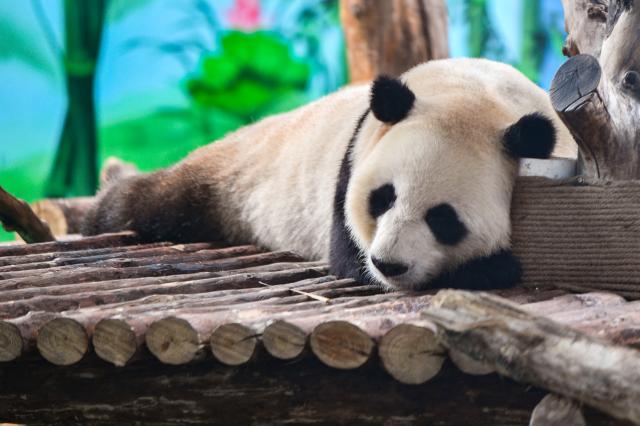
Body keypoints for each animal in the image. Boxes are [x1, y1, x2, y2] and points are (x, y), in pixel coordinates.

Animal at [84, 58, 576, 291]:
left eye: (443, 218)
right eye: (382, 198)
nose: (388, 264)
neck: (475, 91)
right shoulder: (354, 159)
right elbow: (347, 256)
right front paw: (492, 267)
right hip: (230, 176)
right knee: (152, 201)